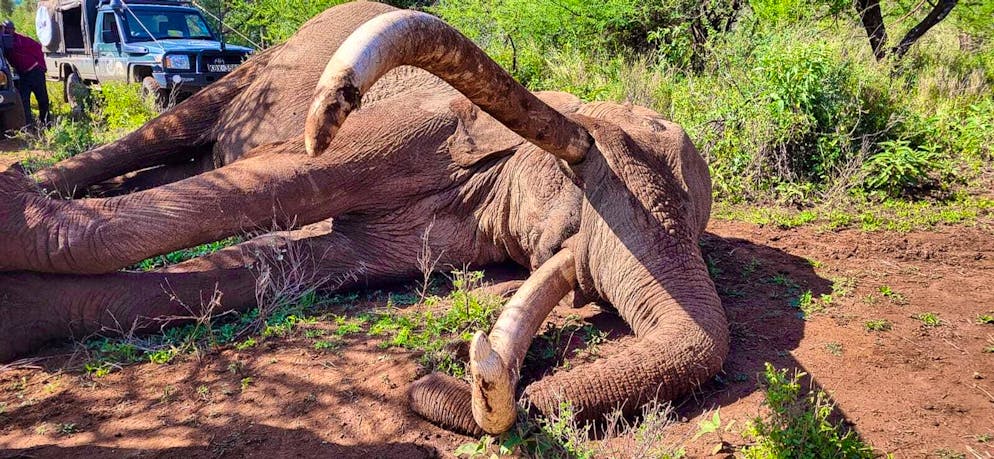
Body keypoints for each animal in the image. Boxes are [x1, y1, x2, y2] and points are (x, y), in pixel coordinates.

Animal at [0, 2, 729, 436]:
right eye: (581, 177)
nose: (433, 378)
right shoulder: (417, 123)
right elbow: (279, 180)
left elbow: (284, 267)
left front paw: (17, 318)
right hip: (260, 63)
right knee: (168, 130)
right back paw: (27, 181)